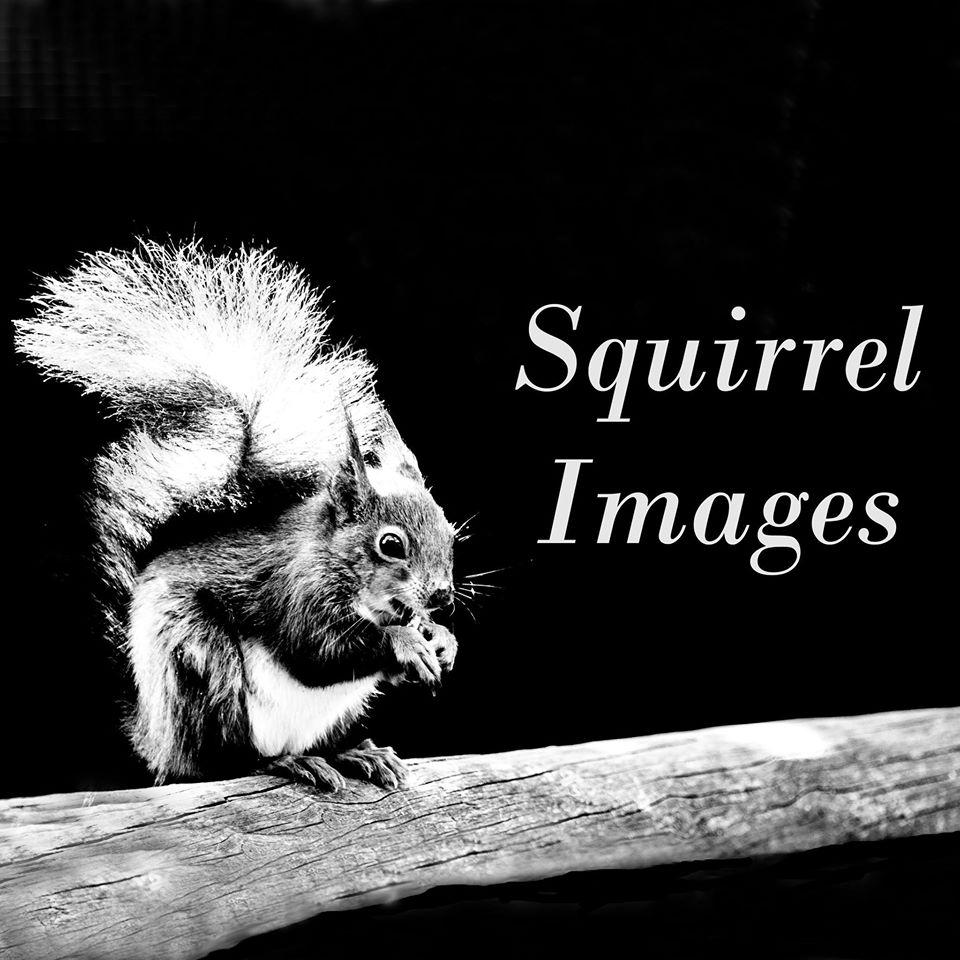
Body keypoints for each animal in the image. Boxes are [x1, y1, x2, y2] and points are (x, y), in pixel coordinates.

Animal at [14, 239, 460, 792]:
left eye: (451, 536)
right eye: (391, 544)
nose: (443, 597)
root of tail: (156, 739)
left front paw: (442, 641)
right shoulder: (293, 589)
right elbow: (316, 649)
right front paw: (404, 642)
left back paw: (355, 752)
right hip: (203, 660)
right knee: (222, 760)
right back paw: (282, 762)